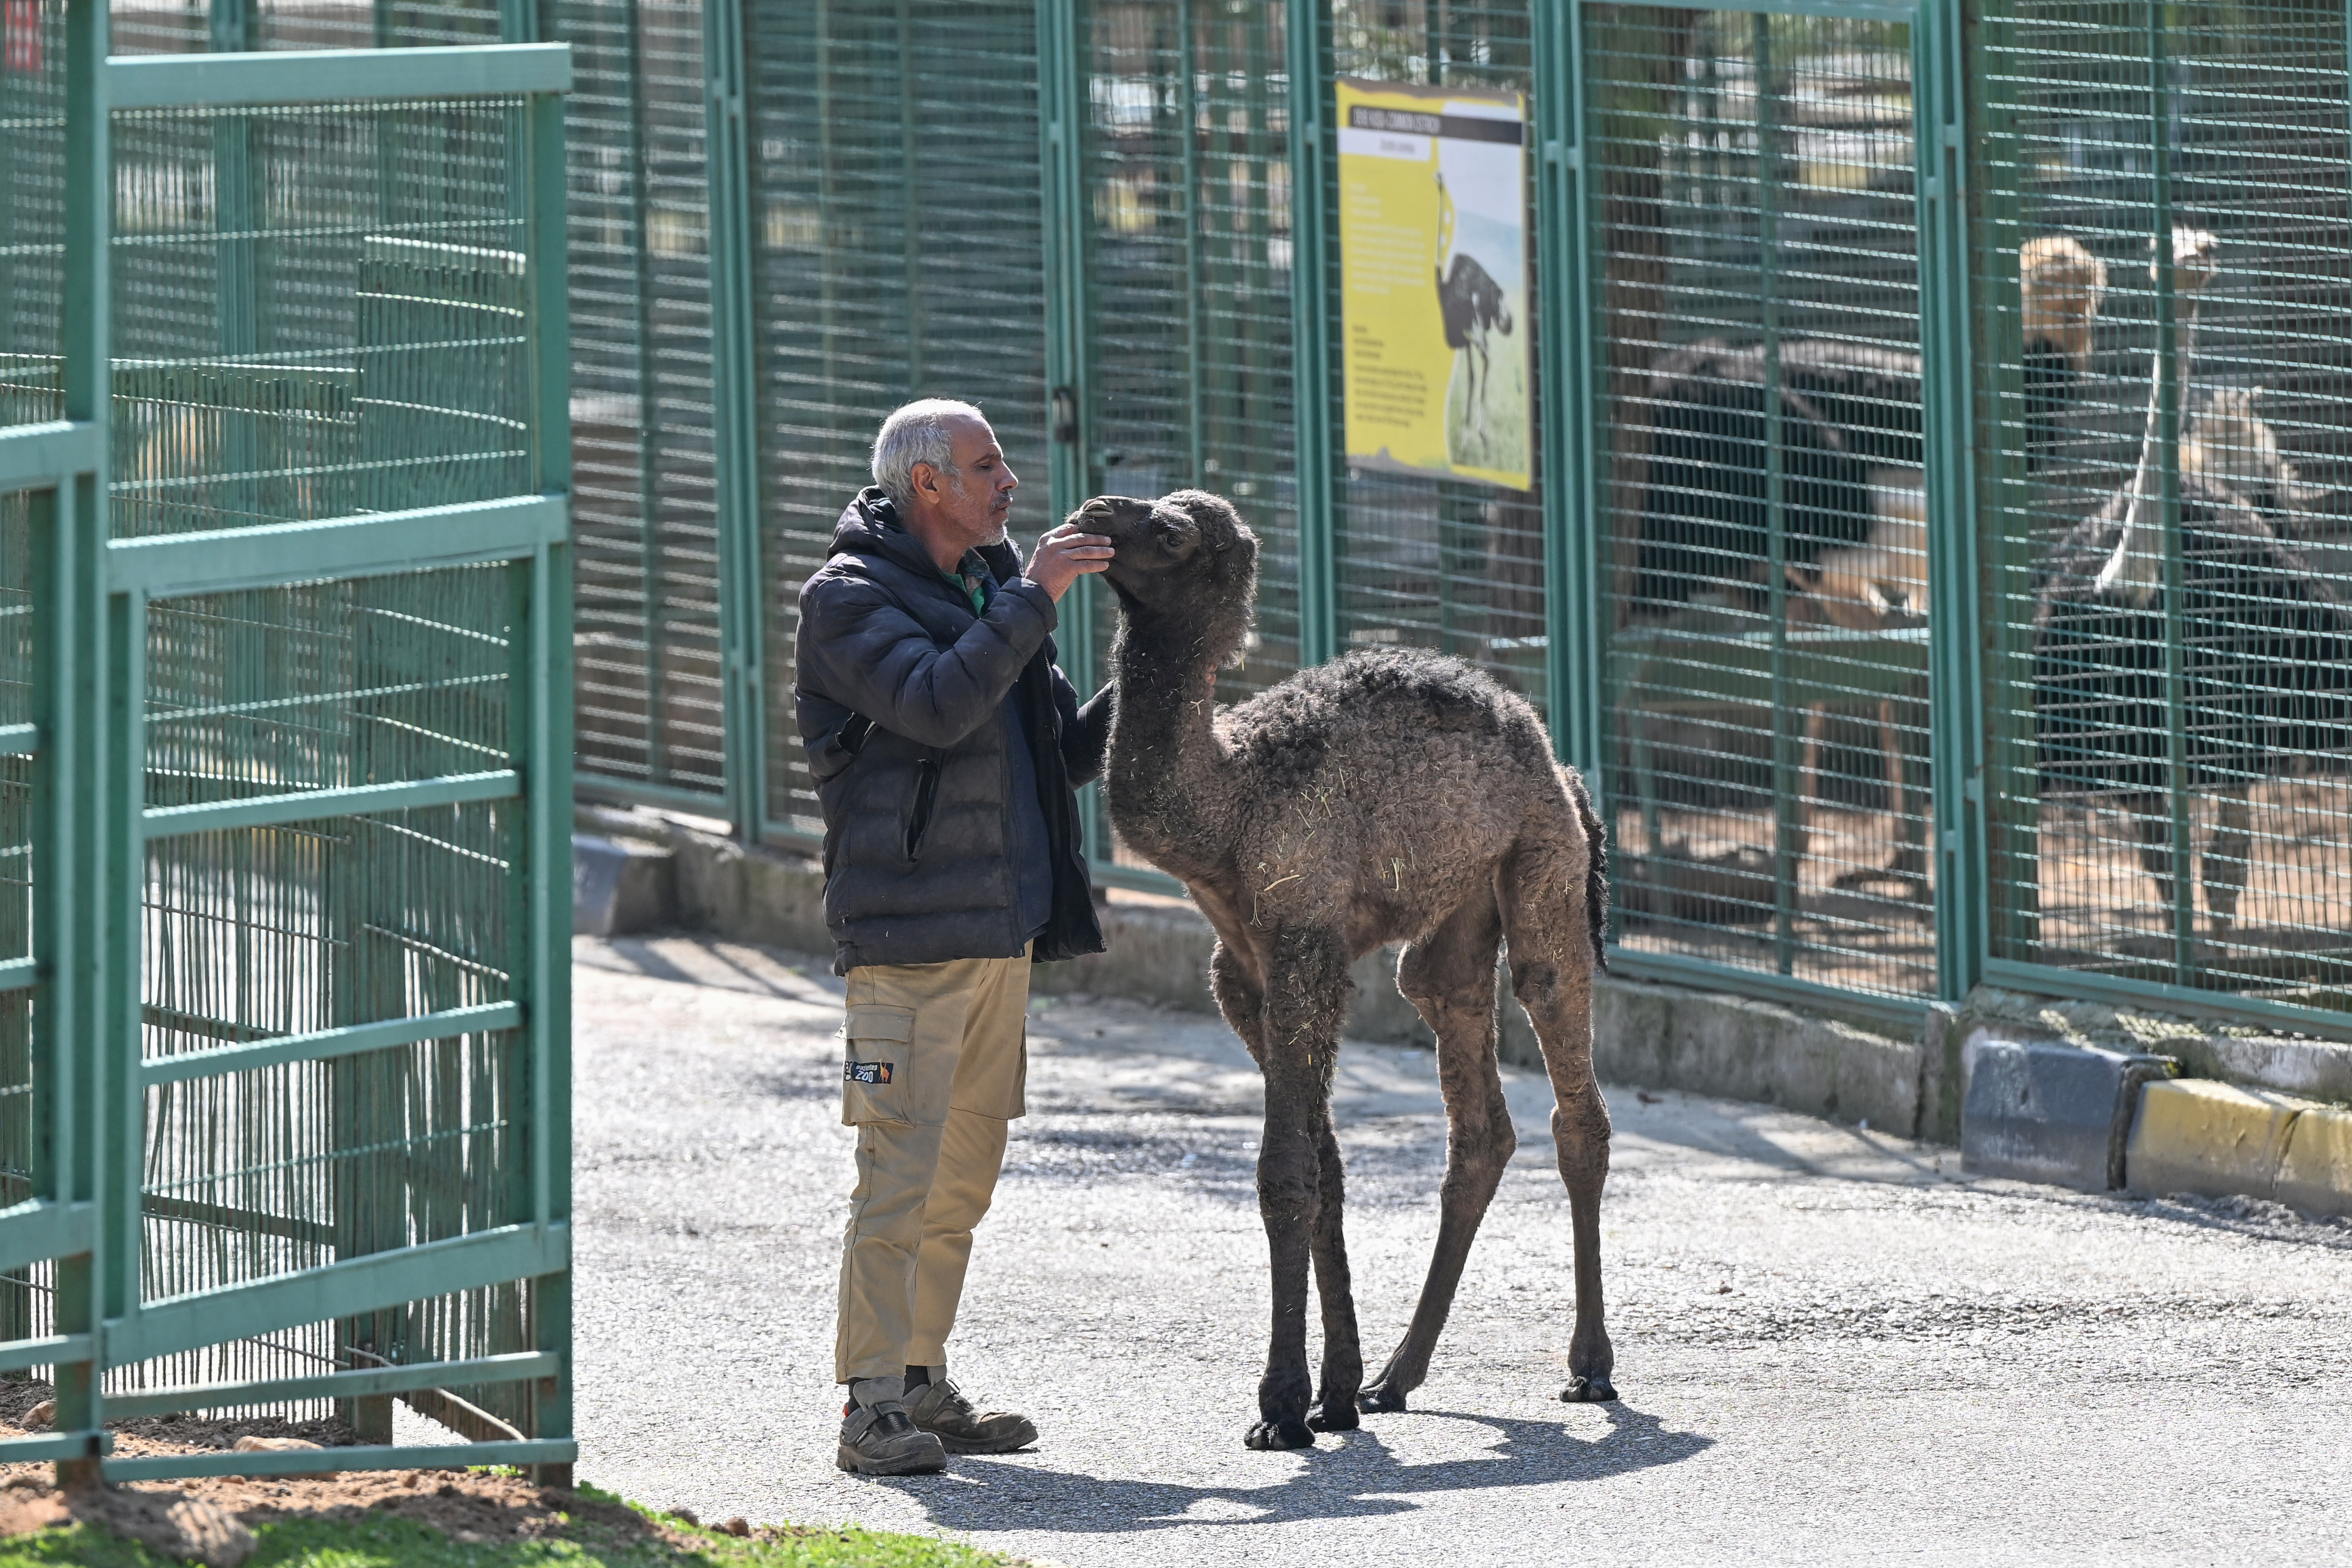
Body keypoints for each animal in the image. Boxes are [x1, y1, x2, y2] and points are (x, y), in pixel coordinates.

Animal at [1077, 494, 1618, 1458]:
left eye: (1171, 533)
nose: (1093, 512)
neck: (1231, 804)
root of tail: (1561, 767)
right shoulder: (1242, 970)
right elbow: (1324, 1163)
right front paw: (1333, 1393)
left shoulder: (1303, 944)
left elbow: (1286, 1169)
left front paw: (1281, 1405)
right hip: (1454, 926)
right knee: (1474, 1113)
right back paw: (1394, 1377)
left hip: (1543, 869)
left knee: (1566, 1075)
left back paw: (1589, 1367)